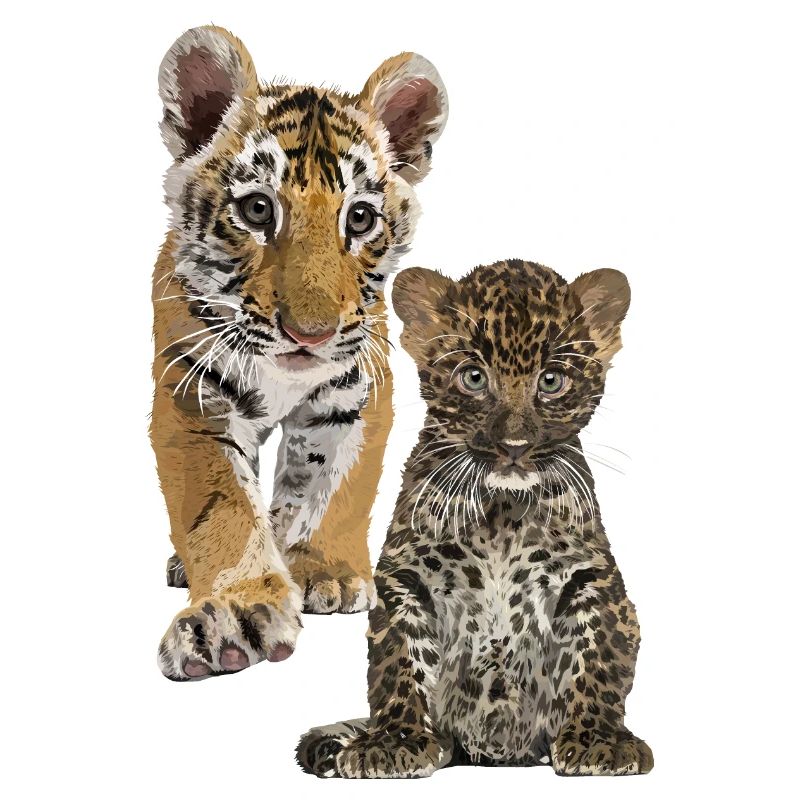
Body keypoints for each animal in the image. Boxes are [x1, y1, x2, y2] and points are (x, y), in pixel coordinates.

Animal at [150, 25, 448, 680]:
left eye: (359, 218)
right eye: (258, 209)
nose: (309, 334)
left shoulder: (358, 392)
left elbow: (333, 486)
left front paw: (325, 571)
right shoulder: (193, 398)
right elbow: (224, 509)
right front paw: (233, 614)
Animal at [297, 259, 653, 777]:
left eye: (552, 381)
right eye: (473, 378)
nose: (514, 445)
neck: (501, 512)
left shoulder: (590, 577)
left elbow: (598, 656)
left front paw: (598, 742)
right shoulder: (407, 577)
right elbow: (399, 660)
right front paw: (394, 741)